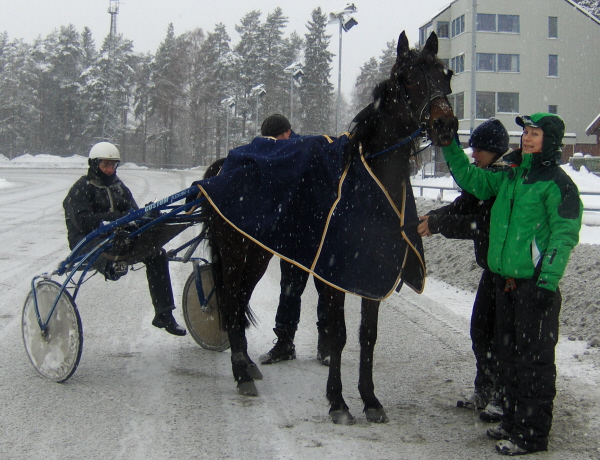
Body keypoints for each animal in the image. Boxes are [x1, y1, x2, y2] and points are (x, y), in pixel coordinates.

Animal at [200, 31, 454, 424]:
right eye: (408, 78)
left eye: (446, 75)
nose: (446, 125)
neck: (368, 180)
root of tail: (223, 163)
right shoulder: (335, 273)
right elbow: (338, 335)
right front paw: (338, 402)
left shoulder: (371, 270)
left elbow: (368, 335)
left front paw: (370, 399)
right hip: (238, 251)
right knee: (231, 301)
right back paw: (242, 373)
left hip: (255, 253)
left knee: (238, 301)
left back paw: (247, 367)